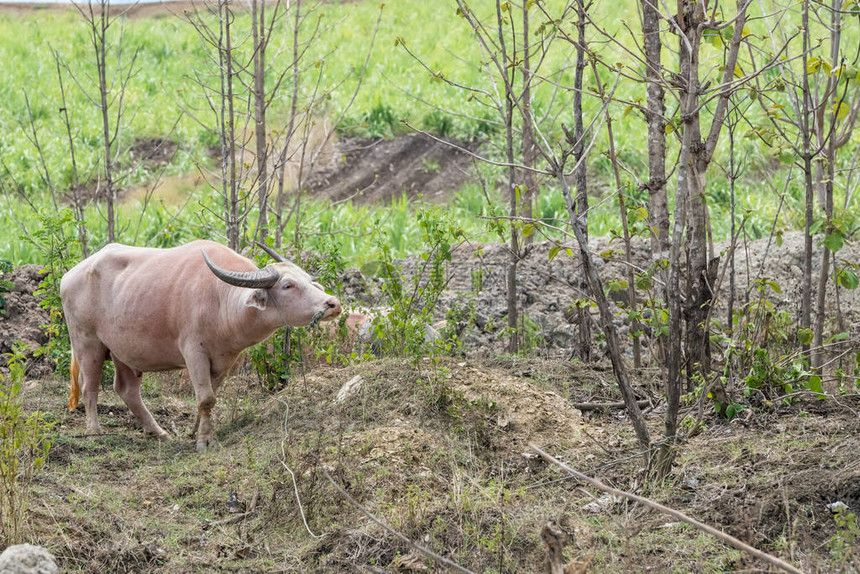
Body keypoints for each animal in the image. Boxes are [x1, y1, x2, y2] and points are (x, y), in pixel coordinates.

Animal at [60, 241, 340, 452]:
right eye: (288, 285)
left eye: (308, 280)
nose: (333, 304)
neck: (220, 300)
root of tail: (69, 275)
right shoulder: (194, 354)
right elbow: (206, 398)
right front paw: (205, 441)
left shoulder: (226, 361)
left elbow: (210, 397)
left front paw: (196, 431)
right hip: (87, 343)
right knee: (89, 386)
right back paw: (94, 431)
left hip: (124, 351)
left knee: (126, 389)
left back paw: (158, 432)